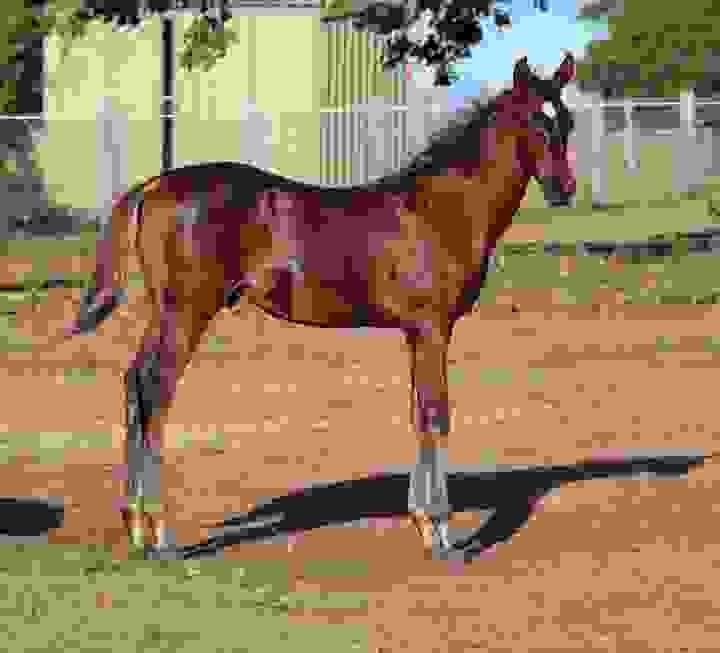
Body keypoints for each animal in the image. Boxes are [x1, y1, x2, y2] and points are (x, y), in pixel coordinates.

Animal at [57, 53, 577, 560]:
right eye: (535, 120)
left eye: (567, 120)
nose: (563, 189)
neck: (442, 207)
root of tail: (152, 187)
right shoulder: (433, 328)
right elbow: (437, 415)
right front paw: (444, 534)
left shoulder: (415, 332)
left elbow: (417, 414)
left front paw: (422, 522)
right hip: (185, 314)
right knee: (155, 390)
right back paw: (161, 534)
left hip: (168, 314)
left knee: (134, 385)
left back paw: (136, 528)